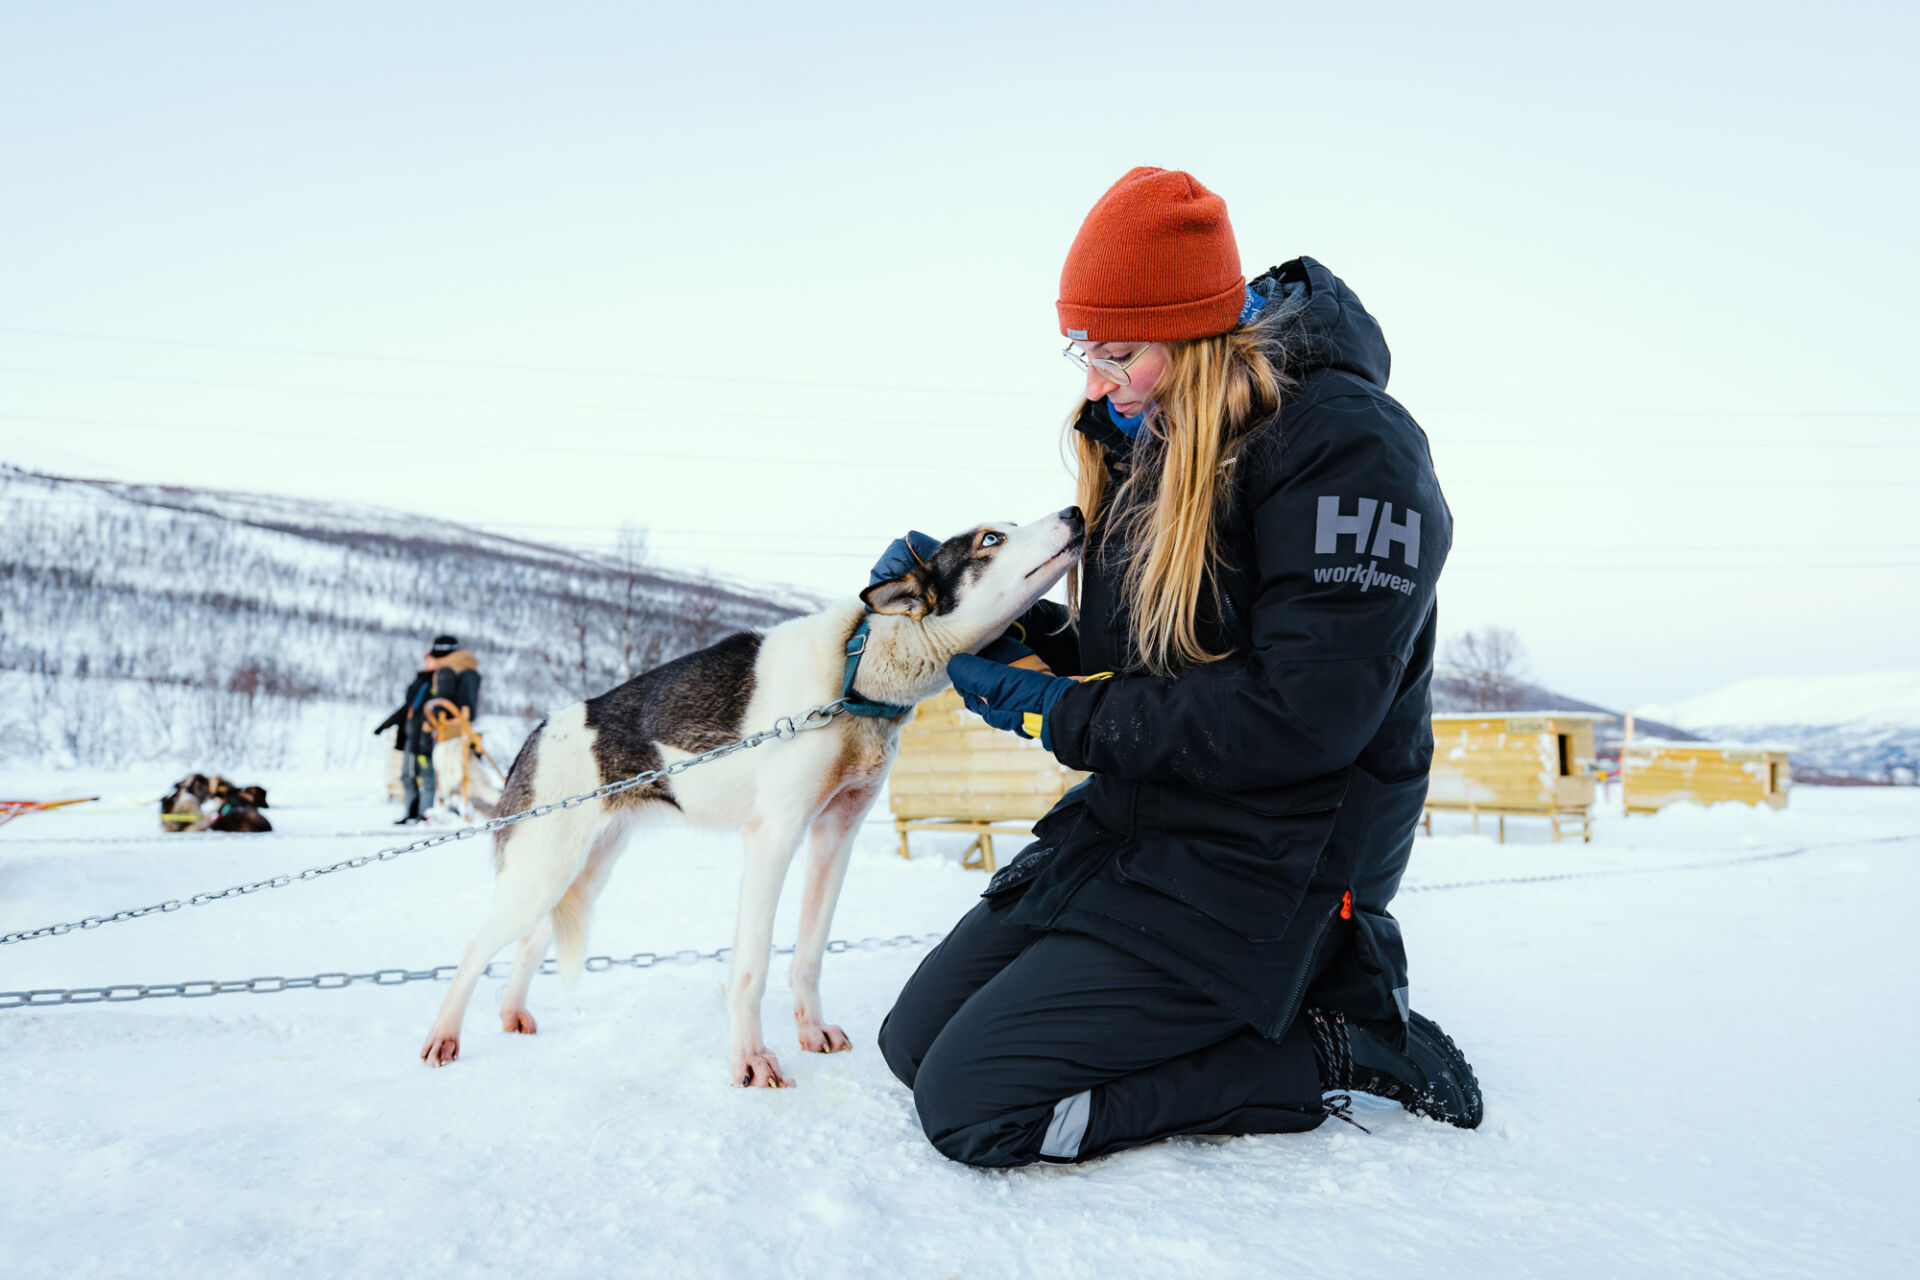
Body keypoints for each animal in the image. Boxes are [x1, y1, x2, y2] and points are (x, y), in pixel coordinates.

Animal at [420, 507, 1085, 1086]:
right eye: (991, 538)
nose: (1075, 512)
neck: (856, 675)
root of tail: (538, 730)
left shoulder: (835, 836)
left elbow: (809, 954)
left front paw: (811, 1032)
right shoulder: (775, 836)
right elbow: (753, 965)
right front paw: (751, 1060)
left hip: (580, 873)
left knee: (530, 941)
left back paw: (511, 1014)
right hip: (544, 871)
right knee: (475, 949)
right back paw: (443, 1037)